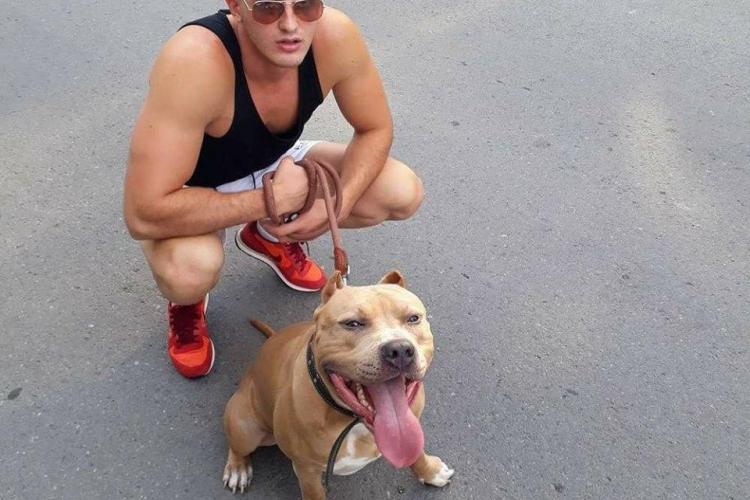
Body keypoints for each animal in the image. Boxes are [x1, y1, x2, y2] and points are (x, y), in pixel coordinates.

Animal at [222, 270, 454, 499]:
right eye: (352, 323)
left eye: (413, 318)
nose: (399, 350)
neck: (352, 420)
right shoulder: (307, 471)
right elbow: (314, 494)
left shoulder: (410, 426)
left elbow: (416, 451)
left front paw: (429, 471)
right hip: (246, 427)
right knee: (237, 445)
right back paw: (237, 469)